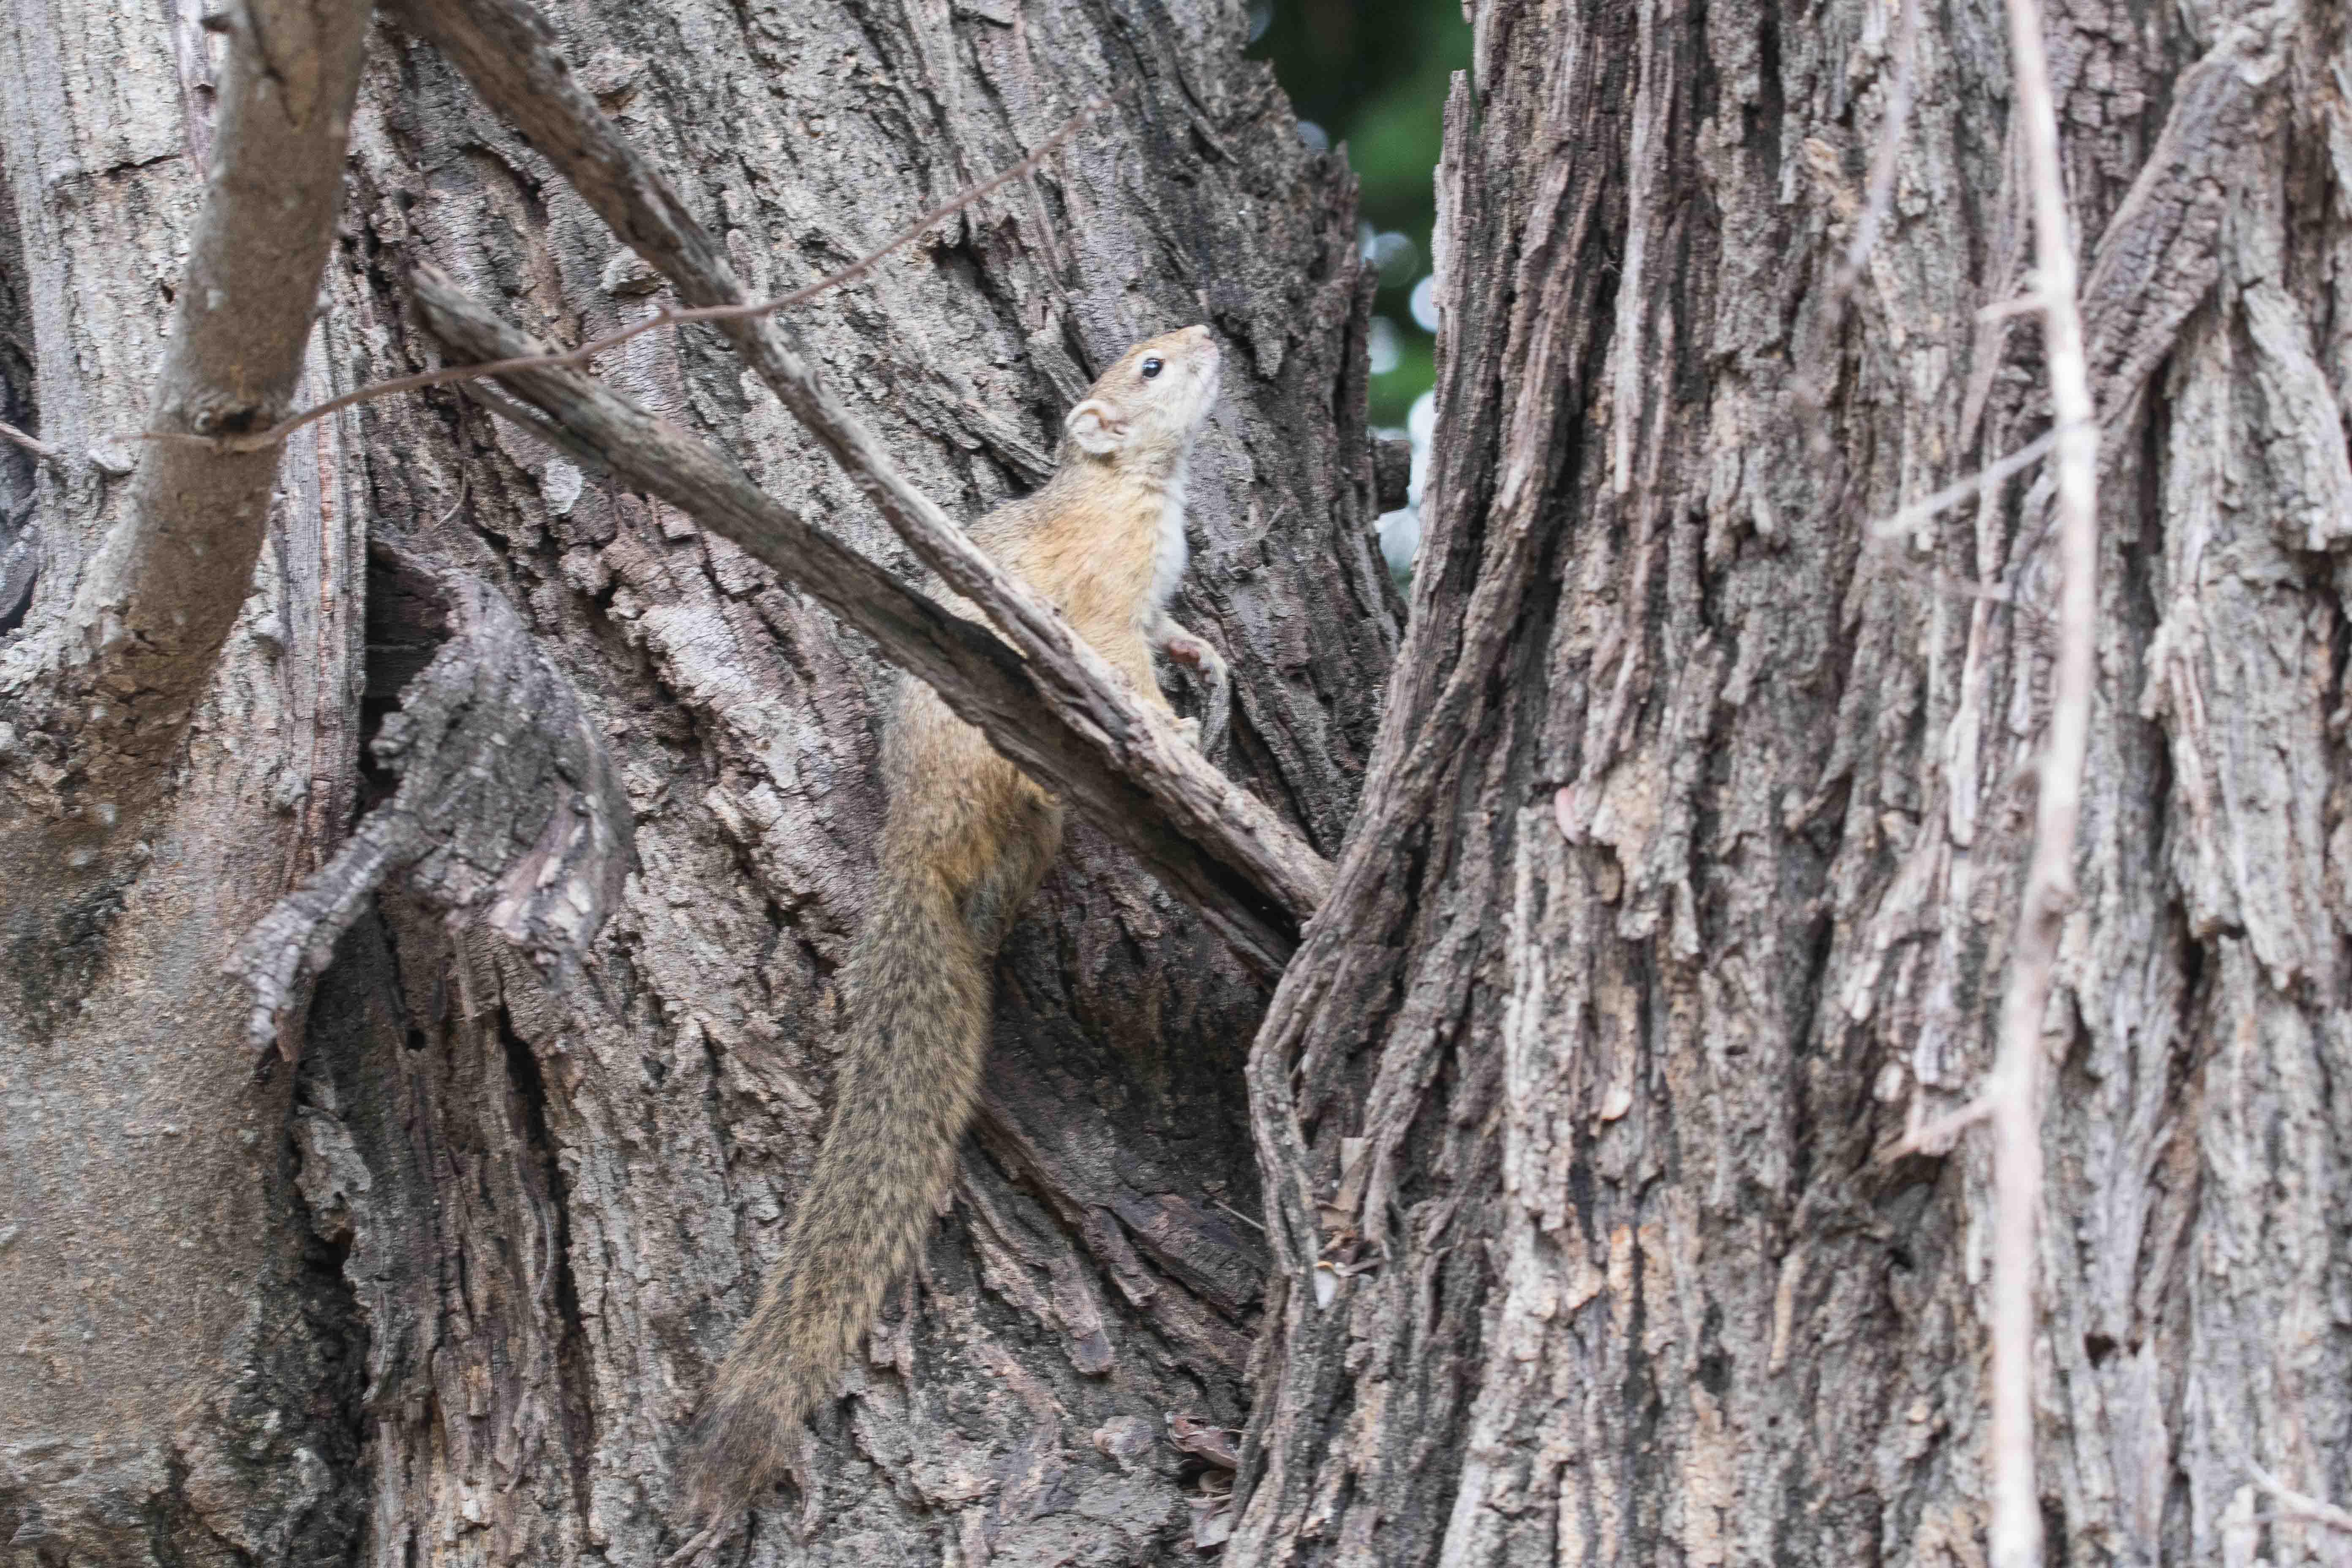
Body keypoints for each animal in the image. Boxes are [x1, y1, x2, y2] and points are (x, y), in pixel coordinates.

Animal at [672, 322, 1232, 1542]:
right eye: (1148, 369)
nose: (1206, 335)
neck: (1136, 487)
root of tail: (916, 846)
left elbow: (1171, 634)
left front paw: (1207, 661)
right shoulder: (1103, 598)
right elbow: (1123, 659)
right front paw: (1174, 730)